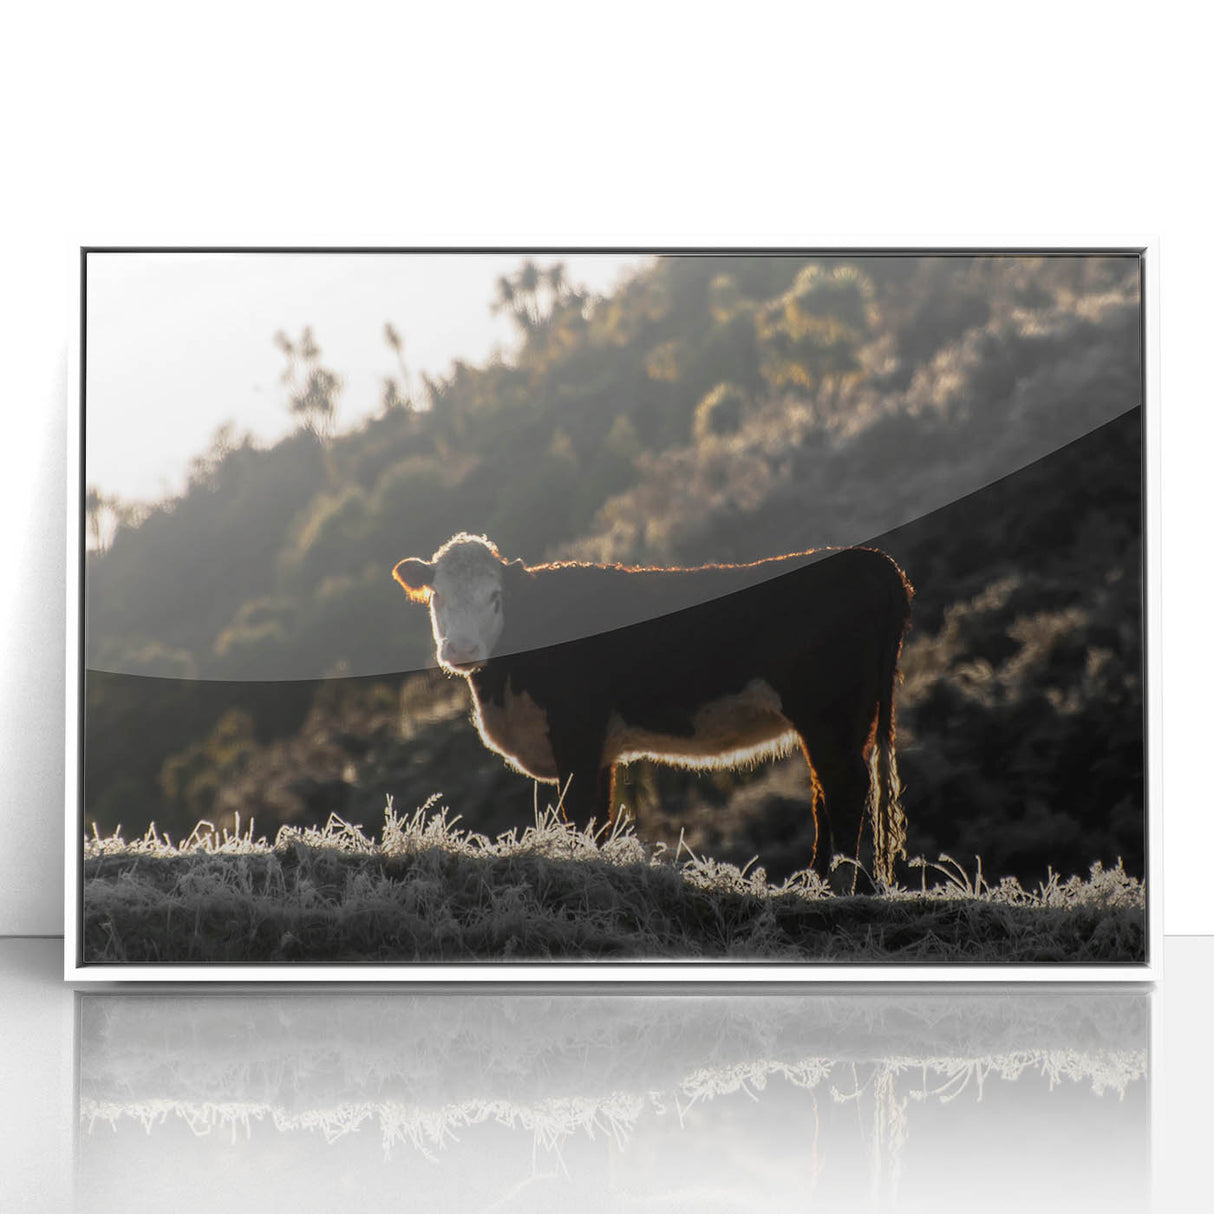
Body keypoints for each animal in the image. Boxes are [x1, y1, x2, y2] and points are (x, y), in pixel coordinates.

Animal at [393, 533, 912, 887]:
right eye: (438, 596)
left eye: (495, 597)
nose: (461, 649)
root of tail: (871, 560)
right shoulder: (600, 751)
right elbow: (599, 819)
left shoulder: (576, 734)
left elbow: (578, 814)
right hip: (844, 720)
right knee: (829, 790)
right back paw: (816, 883)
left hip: (829, 713)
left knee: (844, 788)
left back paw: (831, 886)